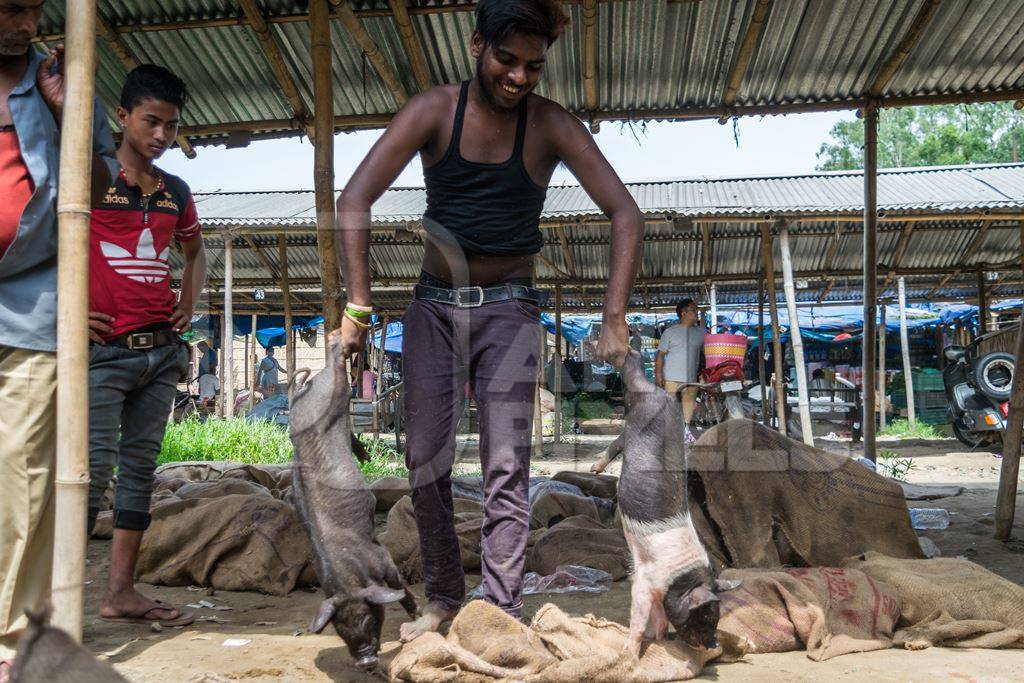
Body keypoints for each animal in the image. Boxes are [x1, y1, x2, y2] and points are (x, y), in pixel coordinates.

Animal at [288, 339, 415, 671]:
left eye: (370, 619)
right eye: (341, 630)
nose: (365, 661)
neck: (349, 577)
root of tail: (304, 388)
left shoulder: (383, 558)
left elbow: (399, 588)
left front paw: (417, 616)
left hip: (335, 391)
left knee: (339, 369)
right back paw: (365, 456)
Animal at [614, 352, 737, 655]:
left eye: (717, 617)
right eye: (704, 616)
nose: (713, 645)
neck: (680, 579)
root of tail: (666, 397)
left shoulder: (660, 590)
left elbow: (660, 616)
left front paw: (660, 640)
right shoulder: (644, 581)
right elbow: (639, 616)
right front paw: (629, 655)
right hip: (639, 402)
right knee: (630, 376)